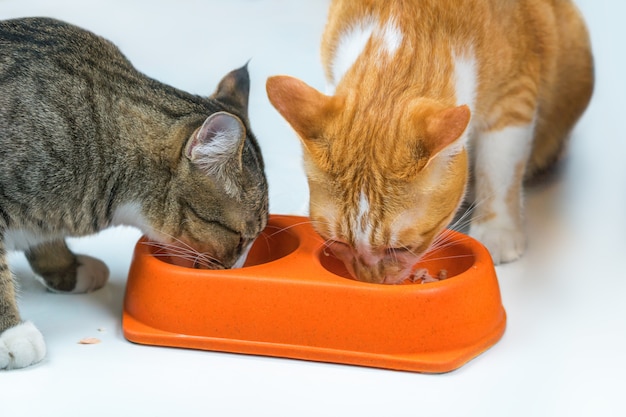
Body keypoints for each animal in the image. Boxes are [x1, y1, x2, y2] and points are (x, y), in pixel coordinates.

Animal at [266, 0, 592, 282]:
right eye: (338, 242)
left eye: (400, 248)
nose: (371, 280)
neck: (404, 26)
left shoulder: (513, 98)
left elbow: (500, 170)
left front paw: (497, 227)